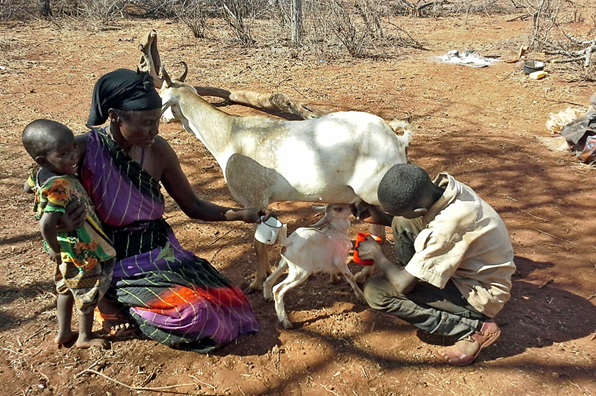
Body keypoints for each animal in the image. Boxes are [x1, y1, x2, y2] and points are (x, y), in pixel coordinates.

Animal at [156, 66, 412, 292]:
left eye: (162, 97)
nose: (162, 119)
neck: (229, 135)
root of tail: (396, 138)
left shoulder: (254, 198)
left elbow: (258, 245)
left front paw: (257, 283)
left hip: (377, 192)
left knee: (385, 230)